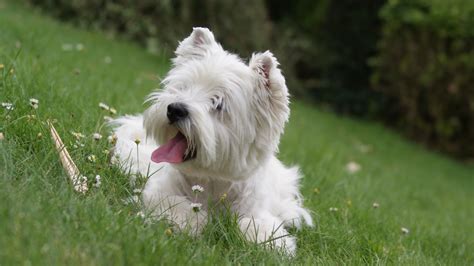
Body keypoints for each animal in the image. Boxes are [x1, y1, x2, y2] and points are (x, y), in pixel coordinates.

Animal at [112, 27, 312, 254]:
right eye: (184, 87)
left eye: (218, 103)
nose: (175, 109)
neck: (212, 181)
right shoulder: (157, 191)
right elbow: (177, 205)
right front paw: (193, 223)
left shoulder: (258, 213)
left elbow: (256, 227)